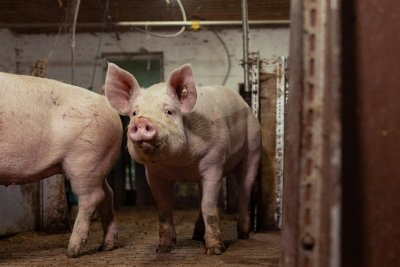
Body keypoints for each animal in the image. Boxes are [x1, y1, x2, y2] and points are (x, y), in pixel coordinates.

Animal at [0, 72, 122, 258]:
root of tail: (104, 100)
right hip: (99, 164)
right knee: (108, 194)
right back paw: (105, 246)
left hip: (85, 159)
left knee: (92, 197)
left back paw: (73, 250)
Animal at [104, 62, 260, 255]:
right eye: (134, 113)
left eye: (169, 111)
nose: (141, 121)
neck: (180, 165)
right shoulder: (154, 174)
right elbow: (165, 208)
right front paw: (163, 248)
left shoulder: (214, 162)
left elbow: (209, 205)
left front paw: (214, 250)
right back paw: (196, 236)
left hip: (254, 147)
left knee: (244, 190)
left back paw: (244, 235)